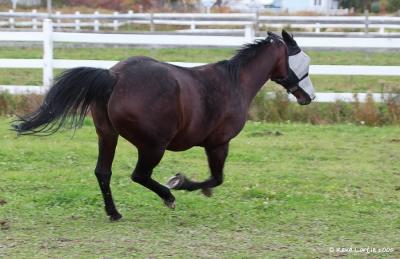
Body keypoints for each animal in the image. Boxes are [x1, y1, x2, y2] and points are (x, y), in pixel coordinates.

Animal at [12, 30, 316, 221]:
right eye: (303, 61)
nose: (309, 97)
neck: (234, 83)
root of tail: (114, 76)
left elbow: (215, 178)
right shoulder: (219, 143)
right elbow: (216, 178)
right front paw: (182, 183)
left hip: (107, 135)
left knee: (103, 172)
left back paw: (114, 213)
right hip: (153, 146)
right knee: (139, 175)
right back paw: (168, 196)